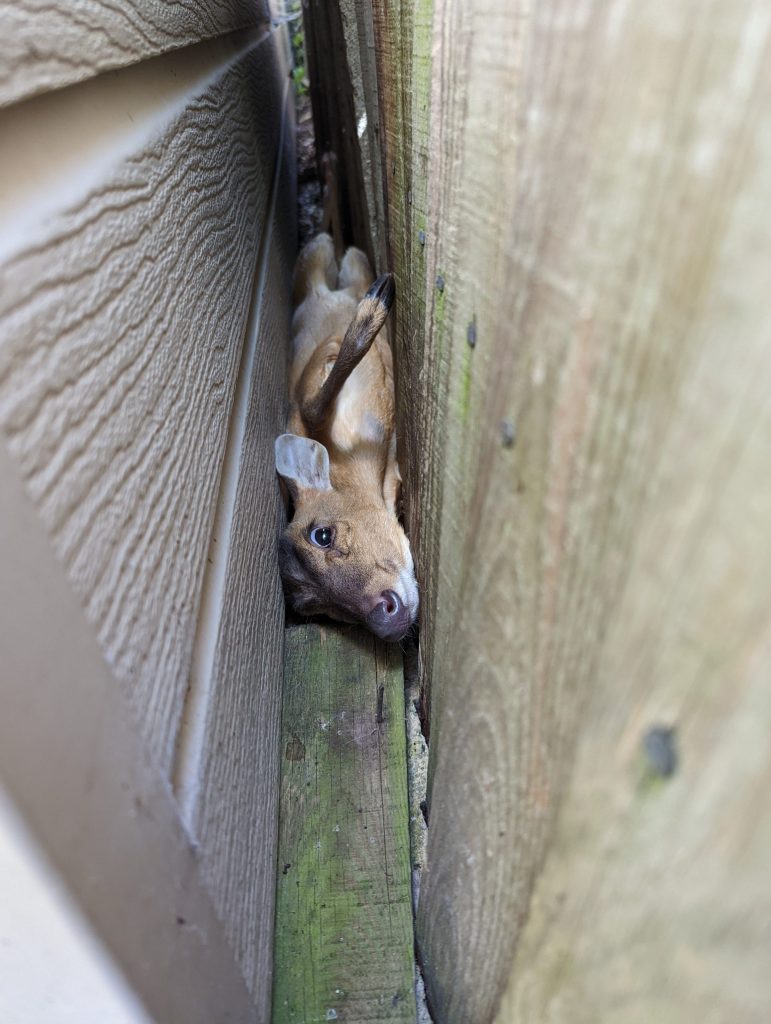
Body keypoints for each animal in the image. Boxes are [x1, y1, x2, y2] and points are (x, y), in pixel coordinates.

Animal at [270, 177, 415, 638]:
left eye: (323, 535)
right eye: (319, 609)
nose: (386, 617)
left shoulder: (311, 377)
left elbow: (313, 403)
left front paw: (374, 309)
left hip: (332, 259)